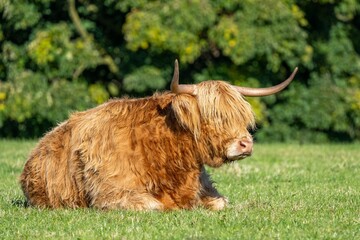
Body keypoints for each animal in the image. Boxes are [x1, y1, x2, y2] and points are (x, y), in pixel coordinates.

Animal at [21, 60, 300, 210]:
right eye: (213, 116)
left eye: (243, 117)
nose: (245, 144)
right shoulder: (113, 195)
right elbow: (156, 205)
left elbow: (221, 202)